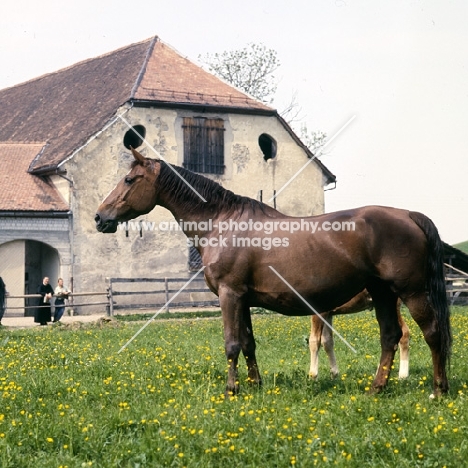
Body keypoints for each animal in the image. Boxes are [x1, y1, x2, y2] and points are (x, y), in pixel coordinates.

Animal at [95, 148, 450, 396]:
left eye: (129, 180)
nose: (100, 217)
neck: (222, 222)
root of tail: (408, 214)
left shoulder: (229, 295)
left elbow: (231, 343)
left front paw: (232, 389)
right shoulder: (243, 299)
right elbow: (248, 343)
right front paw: (255, 384)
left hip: (412, 293)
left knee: (432, 333)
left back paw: (438, 390)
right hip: (383, 294)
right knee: (390, 336)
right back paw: (376, 389)